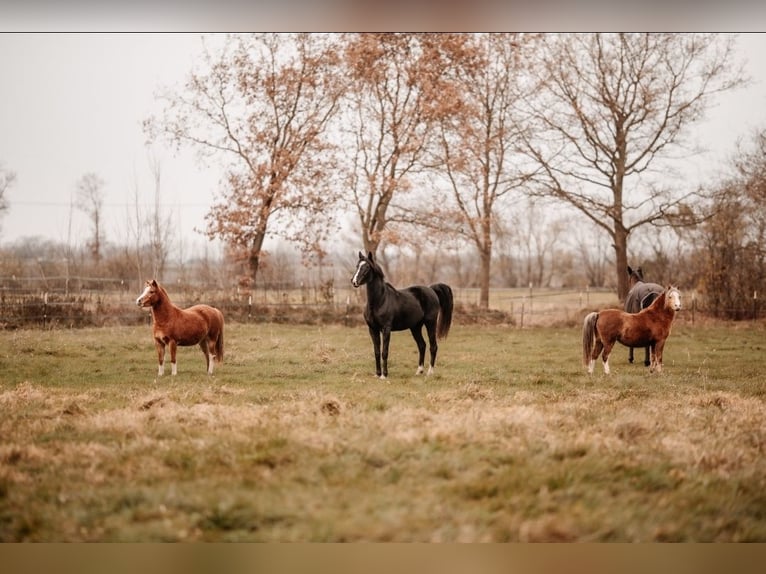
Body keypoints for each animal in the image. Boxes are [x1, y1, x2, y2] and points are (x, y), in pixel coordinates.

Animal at [351, 251, 453, 379]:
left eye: (367, 267)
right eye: (357, 266)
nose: (354, 281)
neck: (380, 300)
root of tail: (431, 290)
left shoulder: (386, 329)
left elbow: (384, 352)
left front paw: (384, 375)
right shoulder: (372, 329)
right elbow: (376, 352)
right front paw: (377, 374)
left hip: (430, 323)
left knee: (433, 346)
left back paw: (430, 372)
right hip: (415, 327)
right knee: (422, 345)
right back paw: (419, 371)